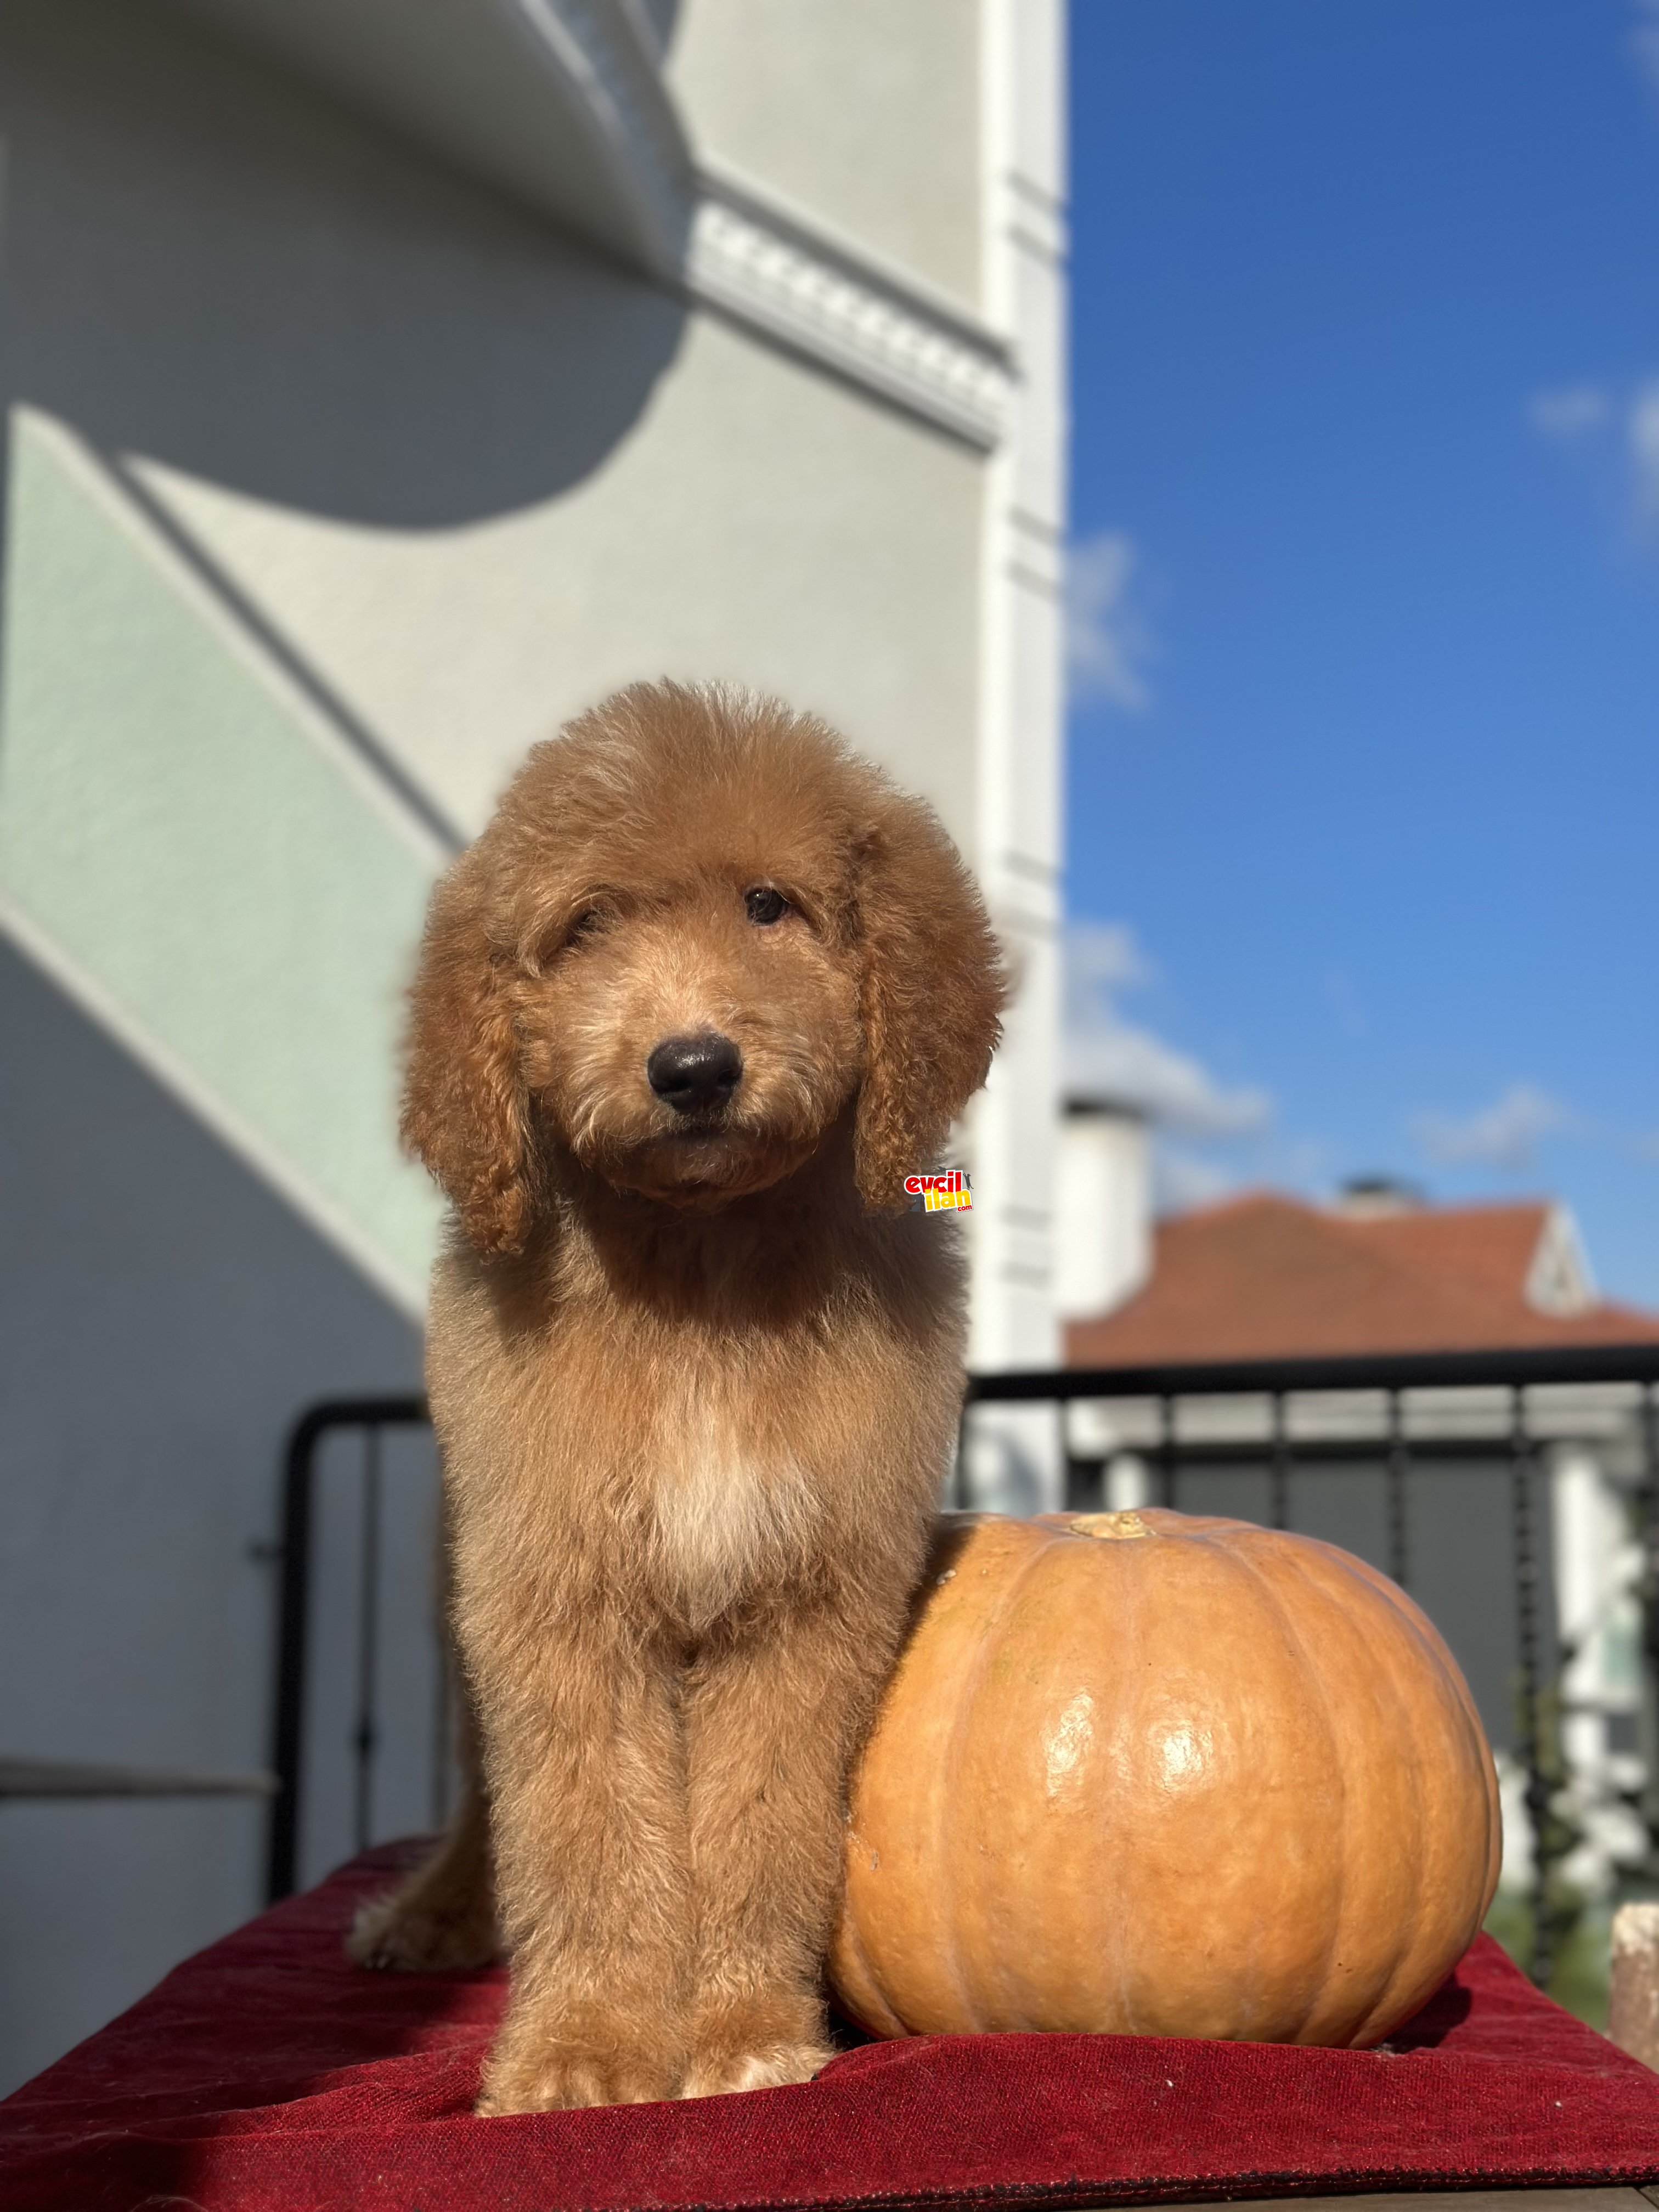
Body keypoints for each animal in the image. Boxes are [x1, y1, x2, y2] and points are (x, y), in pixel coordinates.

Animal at [347, 681, 1000, 2114]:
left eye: (770, 906)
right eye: (587, 926)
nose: (693, 1068)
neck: (701, 1276)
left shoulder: (809, 1604)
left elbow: (764, 1826)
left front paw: (745, 2032)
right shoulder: (556, 1600)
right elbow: (582, 1835)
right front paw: (583, 2051)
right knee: (481, 1797)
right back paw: (431, 1914)